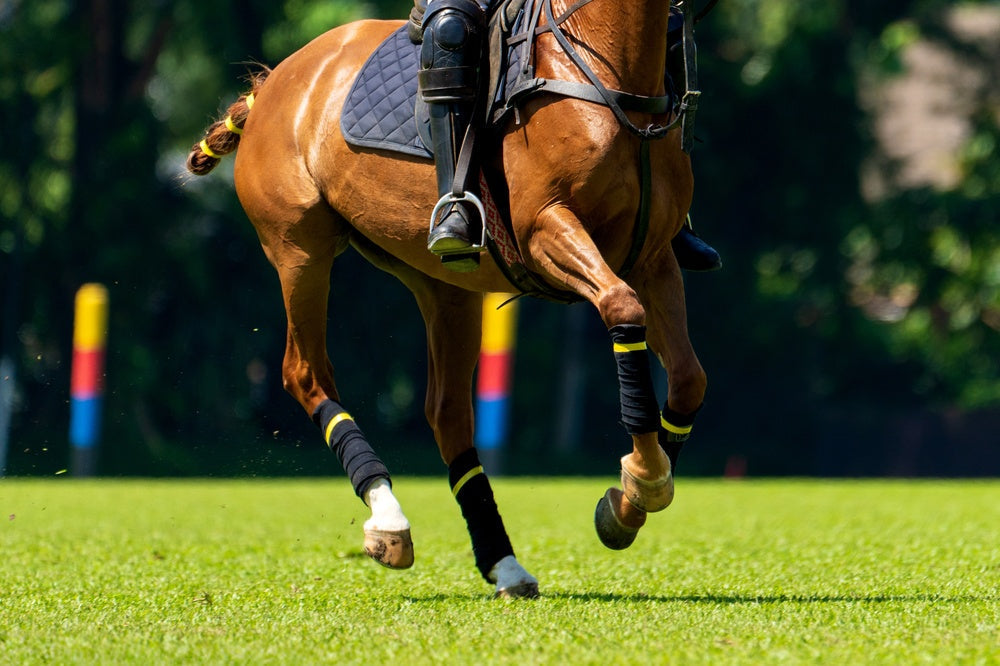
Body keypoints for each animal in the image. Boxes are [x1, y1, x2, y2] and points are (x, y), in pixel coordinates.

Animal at [186, 0, 707, 598]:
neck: (610, 72)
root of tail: (273, 83)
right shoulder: (545, 228)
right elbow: (622, 307)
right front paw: (641, 480)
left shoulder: (655, 255)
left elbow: (689, 377)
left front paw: (629, 502)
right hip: (298, 249)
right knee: (305, 372)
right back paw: (388, 518)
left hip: (441, 283)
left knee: (446, 411)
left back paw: (504, 563)